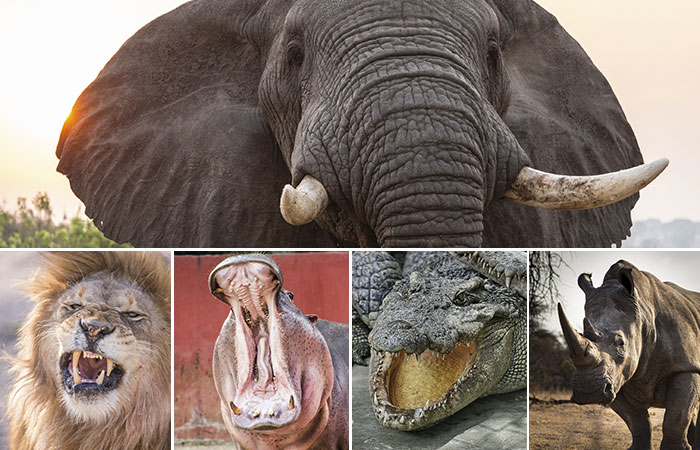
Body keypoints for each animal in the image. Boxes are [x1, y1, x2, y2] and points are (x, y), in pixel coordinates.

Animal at [556, 260, 700, 450]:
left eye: (621, 343)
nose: (588, 391)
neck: (644, 316)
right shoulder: (616, 379)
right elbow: (638, 423)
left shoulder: (686, 367)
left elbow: (676, 420)